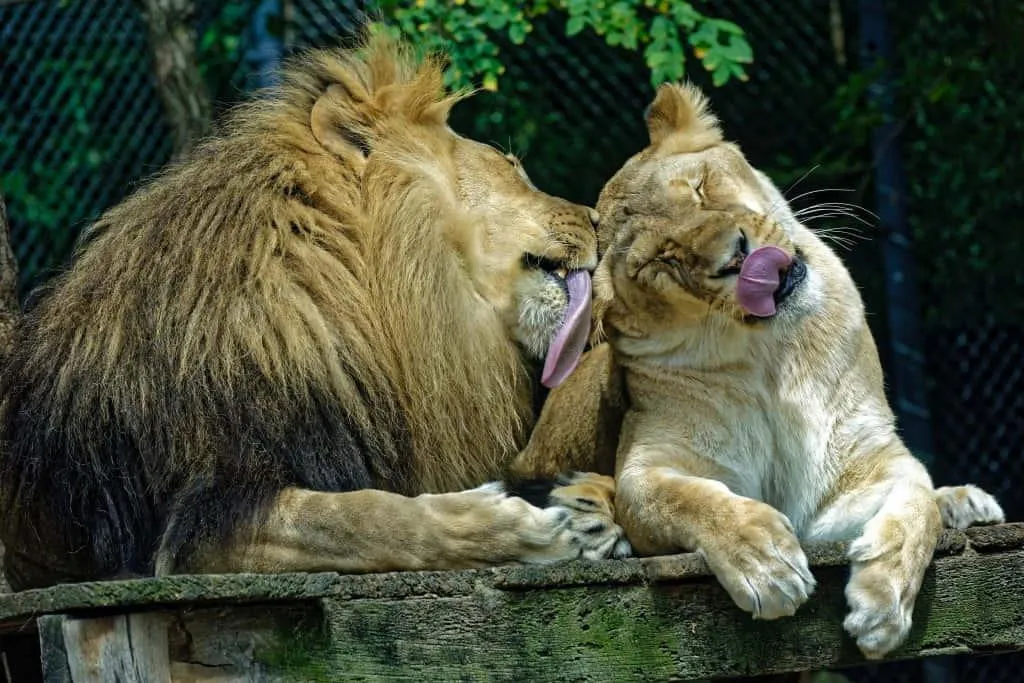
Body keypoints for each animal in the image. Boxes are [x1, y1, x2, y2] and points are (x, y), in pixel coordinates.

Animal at [0, 33, 630, 591]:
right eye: (512, 165)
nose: (597, 220)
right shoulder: (196, 526)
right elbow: (365, 518)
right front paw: (529, 530)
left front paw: (580, 503)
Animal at [513, 82, 1005, 660]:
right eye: (664, 260)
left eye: (700, 188)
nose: (738, 257)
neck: (771, 358)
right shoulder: (650, 465)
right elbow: (688, 498)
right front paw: (765, 564)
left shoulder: (855, 475)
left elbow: (915, 501)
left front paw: (883, 604)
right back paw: (587, 516)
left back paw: (967, 503)